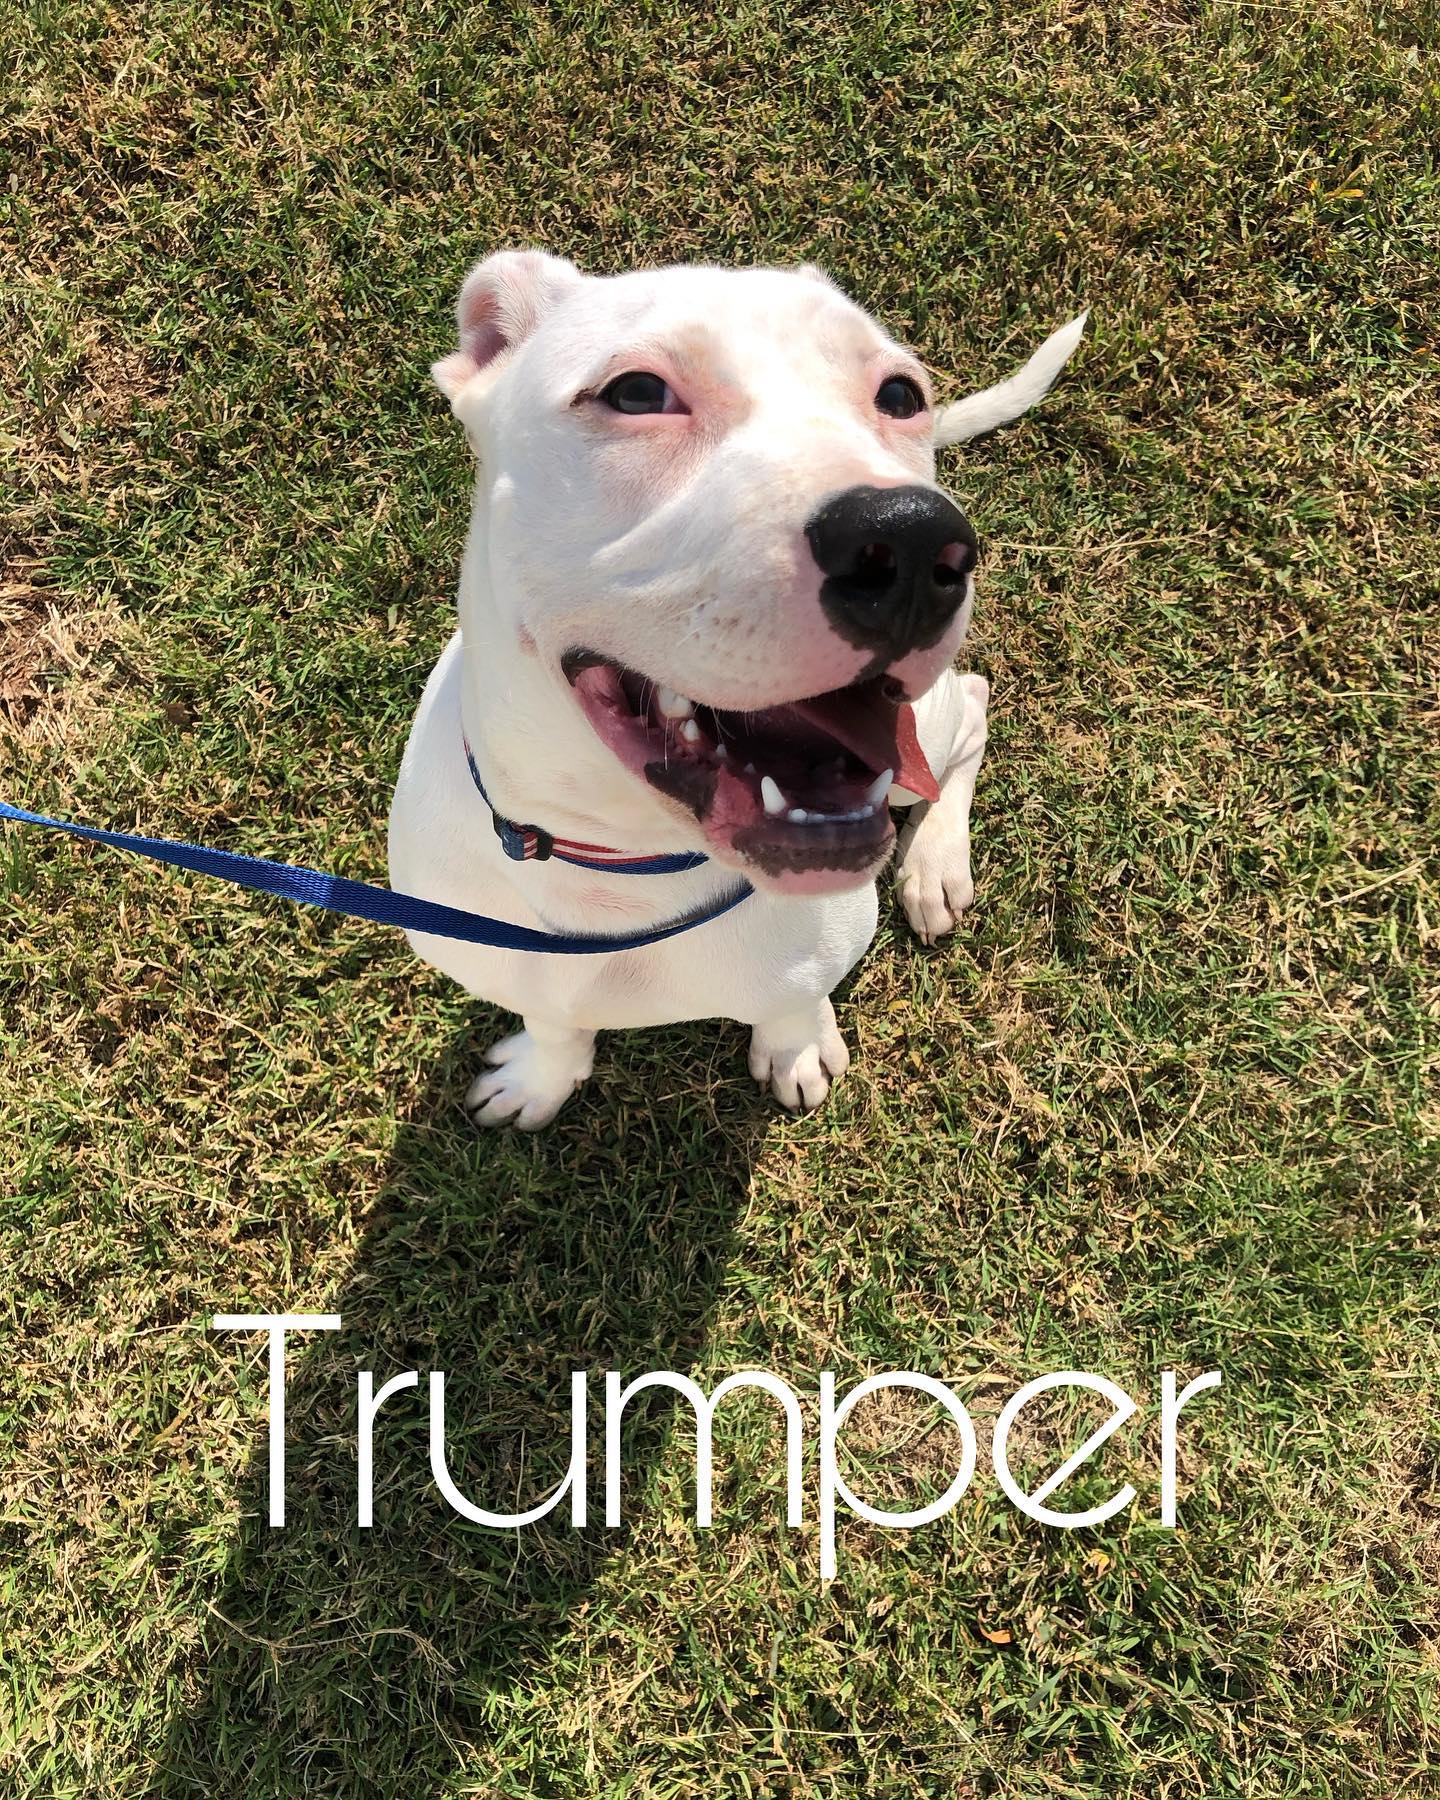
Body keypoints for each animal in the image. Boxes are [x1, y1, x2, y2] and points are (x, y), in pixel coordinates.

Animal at [388, 252, 1084, 1127]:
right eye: (636, 392)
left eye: (899, 395)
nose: (914, 538)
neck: (620, 873)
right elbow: (553, 1024)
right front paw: (541, 1079)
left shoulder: (809, 958)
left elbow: (791, 1003)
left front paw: (796, 1049)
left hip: (925, 726)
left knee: (974, 713)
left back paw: (934, 866)